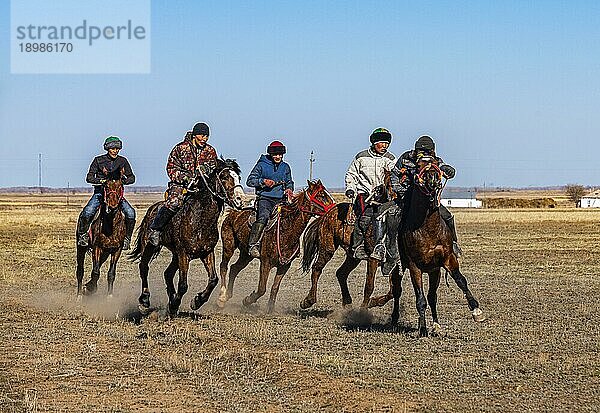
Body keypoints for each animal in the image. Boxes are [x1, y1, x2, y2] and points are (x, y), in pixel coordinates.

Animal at [75, 169, 126, 298]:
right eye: (106, 186)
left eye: (120, 186)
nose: (112, 207)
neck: (110, 225)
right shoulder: (97, 248)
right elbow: (95, 272)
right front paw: (90, 288)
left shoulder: (116, 250)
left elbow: (111, 273)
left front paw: (109, 296)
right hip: (81, 248)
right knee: (80, 271)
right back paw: (79, 295)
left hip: (105, 253)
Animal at [128, 159, 244, 316]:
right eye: (224, 177)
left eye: (238, 177)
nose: (240, 199)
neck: (200, 220)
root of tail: (152, 210)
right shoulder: (184, 254)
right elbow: (183, 285)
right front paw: (175, 305)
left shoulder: (207, 252)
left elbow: (213, 279)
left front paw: (197, 301)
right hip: (150, 246)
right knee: (144, 267)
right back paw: (145, 301)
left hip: (175, 255)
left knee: (167, 273)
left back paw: (170, 298)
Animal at [217, 180, 338, 312]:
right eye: (321, 195)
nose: (334, 209)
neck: (286, 230)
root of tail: (233, 213)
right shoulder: (265, 263)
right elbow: (262, 288)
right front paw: (247, 300)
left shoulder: (284, 266)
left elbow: (275, 287)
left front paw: (270, 309)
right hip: (229, 246)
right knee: (224, 266)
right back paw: (222, 298)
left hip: (246, 255)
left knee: (234, 268)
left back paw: (228, 295)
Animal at [368, 157, 486, 334]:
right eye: (418, 166)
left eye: (437, 162)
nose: (432, 177)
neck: (428, 228)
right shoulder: (414, 267)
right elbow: (420, 298)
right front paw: (422, 328)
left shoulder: (446, 260)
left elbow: (460, 281)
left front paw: (476, 311)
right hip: (397, 268)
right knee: (397, 291)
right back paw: (395, 318)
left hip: (434, 271)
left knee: (431, 296)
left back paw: (435, 325)